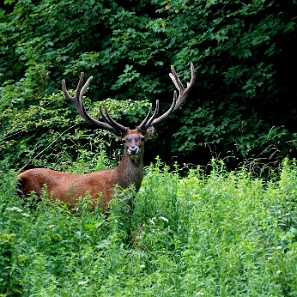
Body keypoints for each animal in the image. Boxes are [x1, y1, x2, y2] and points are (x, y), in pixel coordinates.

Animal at [17, 63, 194, 210]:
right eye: (124, 140)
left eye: (142, 138)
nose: (133, 150)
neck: (120, 186)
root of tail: (18, 178)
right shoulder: (103, 211)